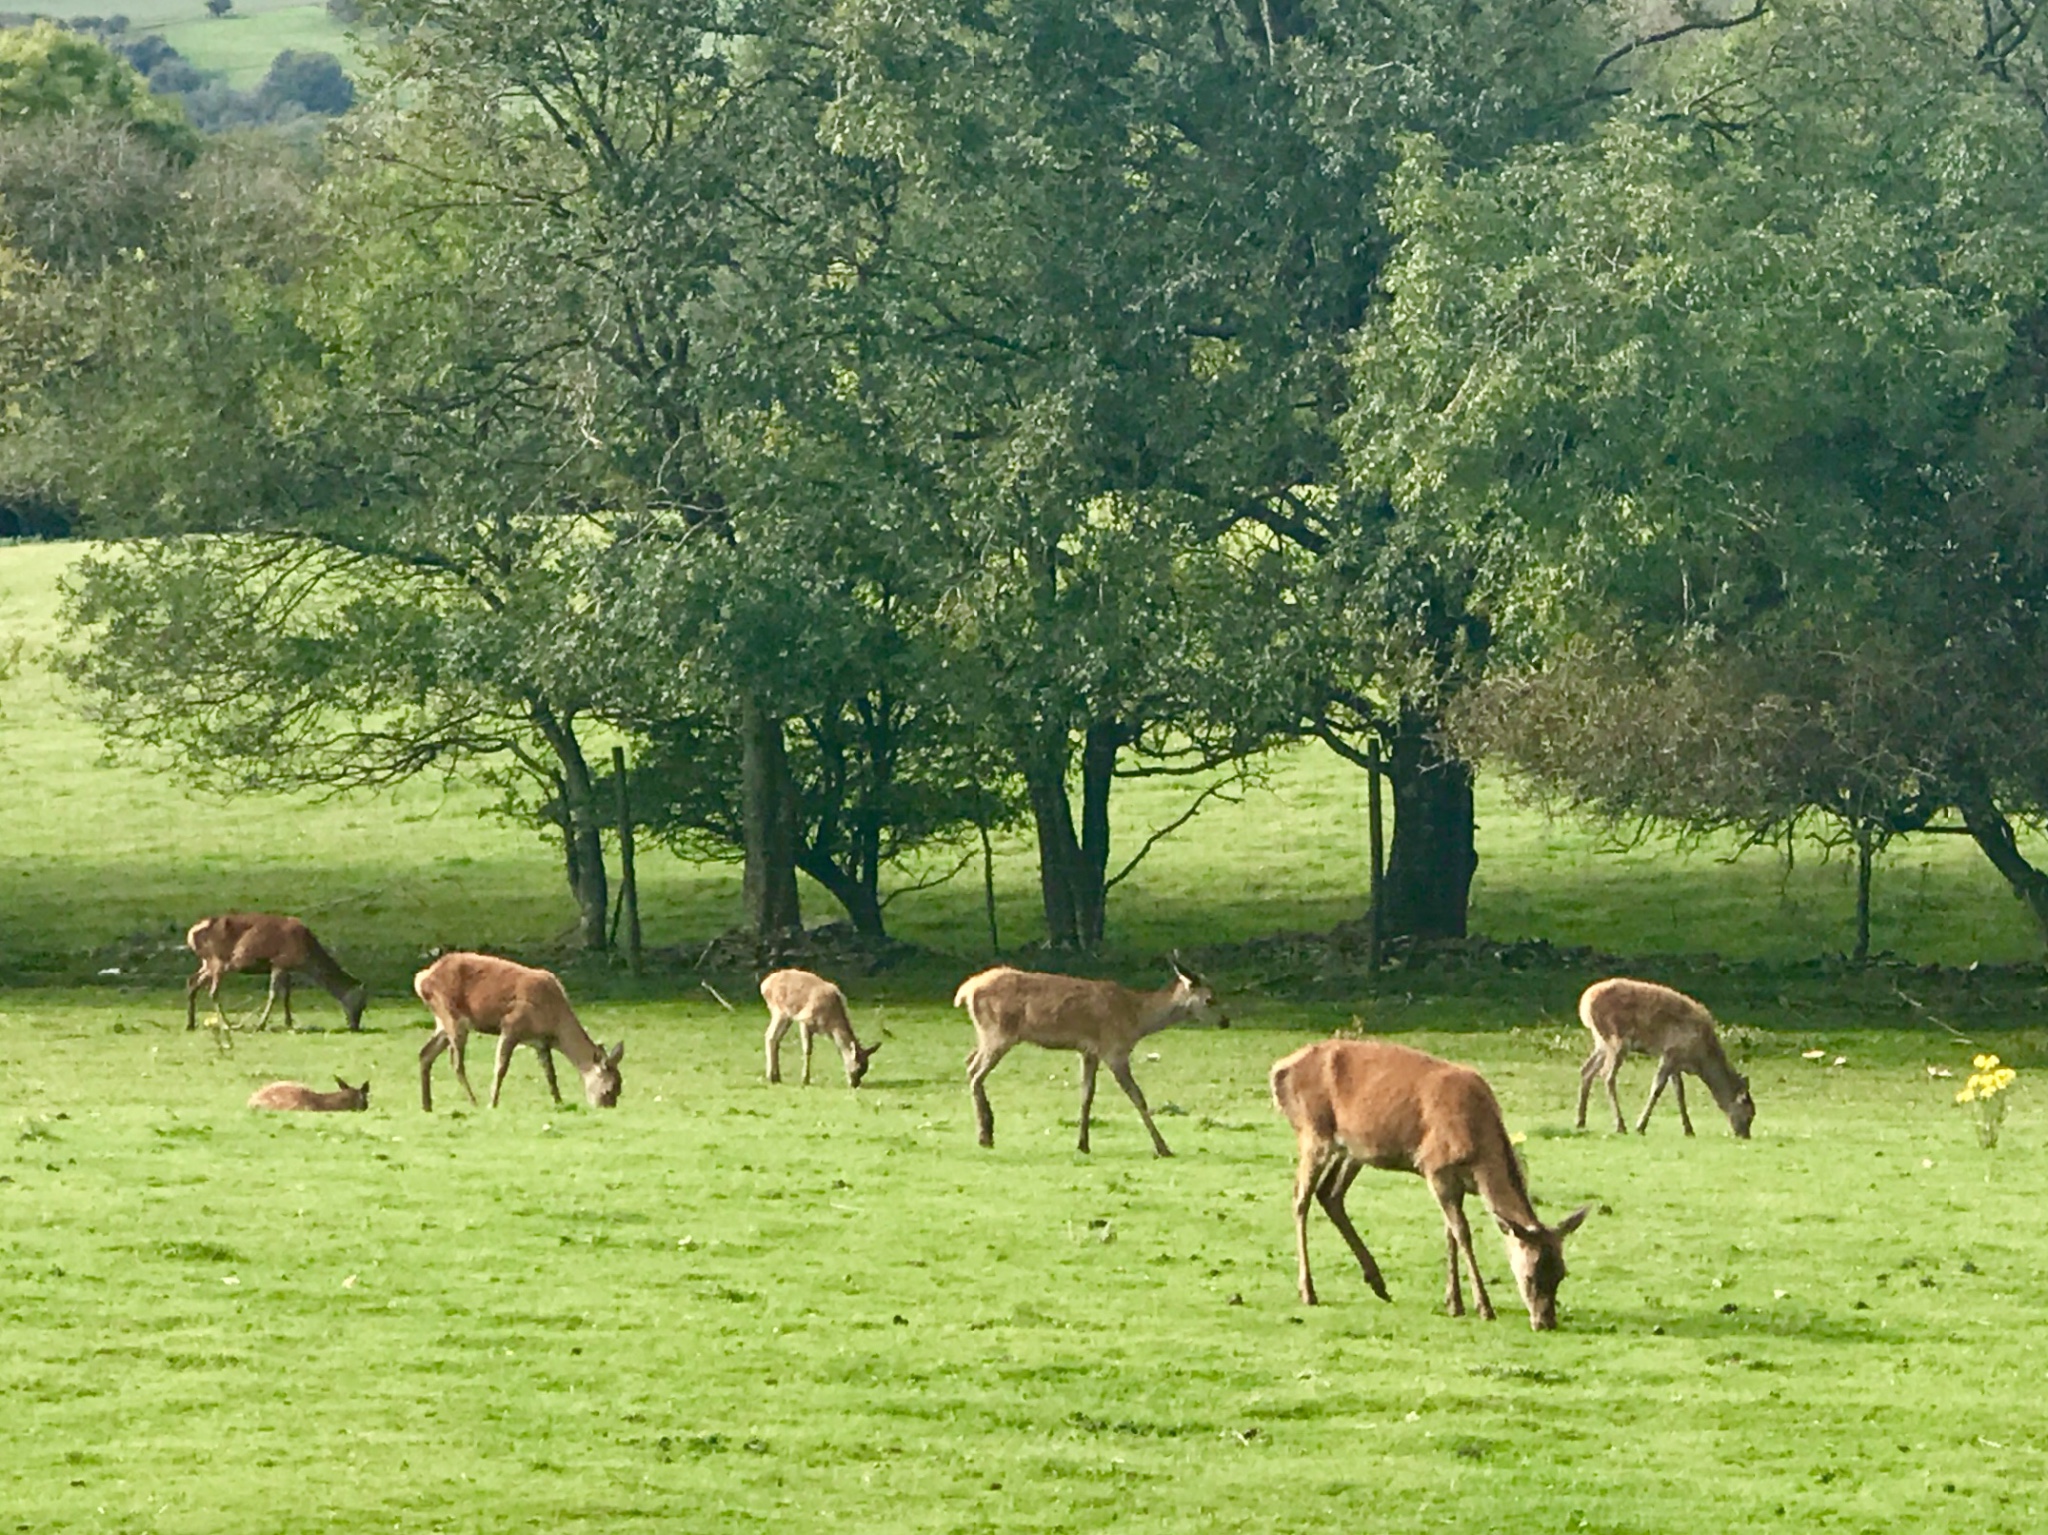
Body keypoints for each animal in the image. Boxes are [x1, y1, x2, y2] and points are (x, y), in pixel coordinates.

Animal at [185, 912, 368, 1035]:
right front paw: (261, 1025)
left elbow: (286, 995)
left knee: (192, 981)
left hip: (207, 963)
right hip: (218, 961)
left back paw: (191, 1024)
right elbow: (273, 995)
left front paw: (289, 1023)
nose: (356, 1027)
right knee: (213, 991)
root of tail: (191, 933)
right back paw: (227, 1024)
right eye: (362, 1003)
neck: (306, 958)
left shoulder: (287, 968)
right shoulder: (279, 962)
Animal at [405, 957, 614, 1113]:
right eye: (609, 1089)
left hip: (441, 1023)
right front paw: (493, 1103)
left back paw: (426, 1105)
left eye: (618, 1087)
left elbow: (550, 1073)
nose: (608, 1107)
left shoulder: (540, 1041)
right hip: (452, 1016)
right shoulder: (511, 1025)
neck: (554, 1022)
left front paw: (559, 1101)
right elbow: (500, 1068)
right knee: (456, 1063)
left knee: (425, 1053)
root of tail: (420, 978)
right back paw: (474, 1102)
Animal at [950, 957, 1220, 1162]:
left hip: (987, 1034)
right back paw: (985, 1135)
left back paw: (987, 1130)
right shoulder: (1114, 1050)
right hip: (999, 1033)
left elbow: (1086, 1095)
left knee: (968, 1062)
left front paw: (1083, 1144)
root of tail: (965, 991)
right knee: (975, 1072)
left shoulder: (1089, 1051)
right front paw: (1163, 1147)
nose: (1225, 1021)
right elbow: (1137, 1097)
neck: (1136, 1020)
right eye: (1209, 999)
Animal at [1269, 1047, 1589, 1334]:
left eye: (1562, 1273)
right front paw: (1483, 1307)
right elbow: (1462, 1232)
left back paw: (1378, 1283)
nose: (1546, 1322)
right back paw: (1308, 1291)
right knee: (1300, 1198)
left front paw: (1453, 1303)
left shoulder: (1454, 1183)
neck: (1478, 1146)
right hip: (1313, 1133)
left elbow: (1450, 1232)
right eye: (1531, 1275)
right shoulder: (1435, 1168)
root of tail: (1278, 1070)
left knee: (1330, 1194)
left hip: (1353, 1149)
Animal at [1572, 974, 1753, 1146]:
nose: (1745, 1135)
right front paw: (1640, 1126)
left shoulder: (1676, 1061)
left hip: (1601, 1042)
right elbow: (1657, 1088)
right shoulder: (1670, 1053)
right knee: (1607, 1075)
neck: (1700, 1059)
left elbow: (1679, 1091)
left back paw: (1580, 1121)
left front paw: (1689, 1129)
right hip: (1617, 1039)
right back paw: (1620, 1126)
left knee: (1586, 1070)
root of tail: (1584, 1004)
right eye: (1750, 1113)